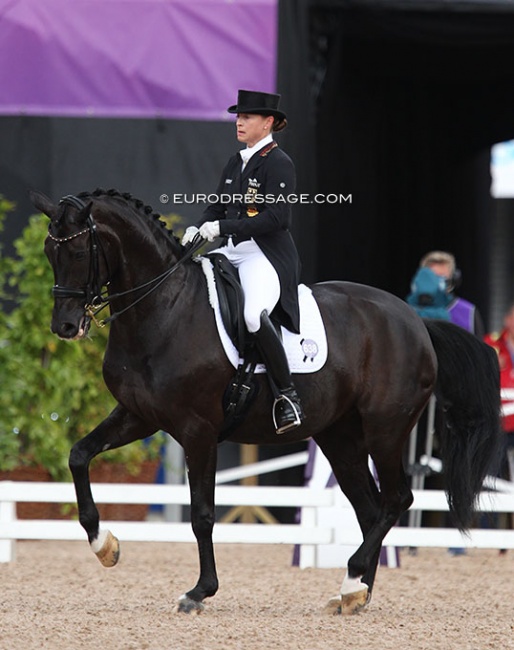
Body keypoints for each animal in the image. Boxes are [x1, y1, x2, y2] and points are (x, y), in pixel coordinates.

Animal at [30, 187, 498, 612]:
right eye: (50, 252)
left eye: (78, 253)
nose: (64, 327)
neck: (165, 309)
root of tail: (416, 320)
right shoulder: (139, 416)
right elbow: (78, 455)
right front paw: (104, 545)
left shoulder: (198, 430)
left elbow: (202, 514)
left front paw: (200, 592)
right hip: (341, 438)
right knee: (369, 509)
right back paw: (354, 592)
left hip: (386, 430)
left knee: (396, 499)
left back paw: (353, 582)